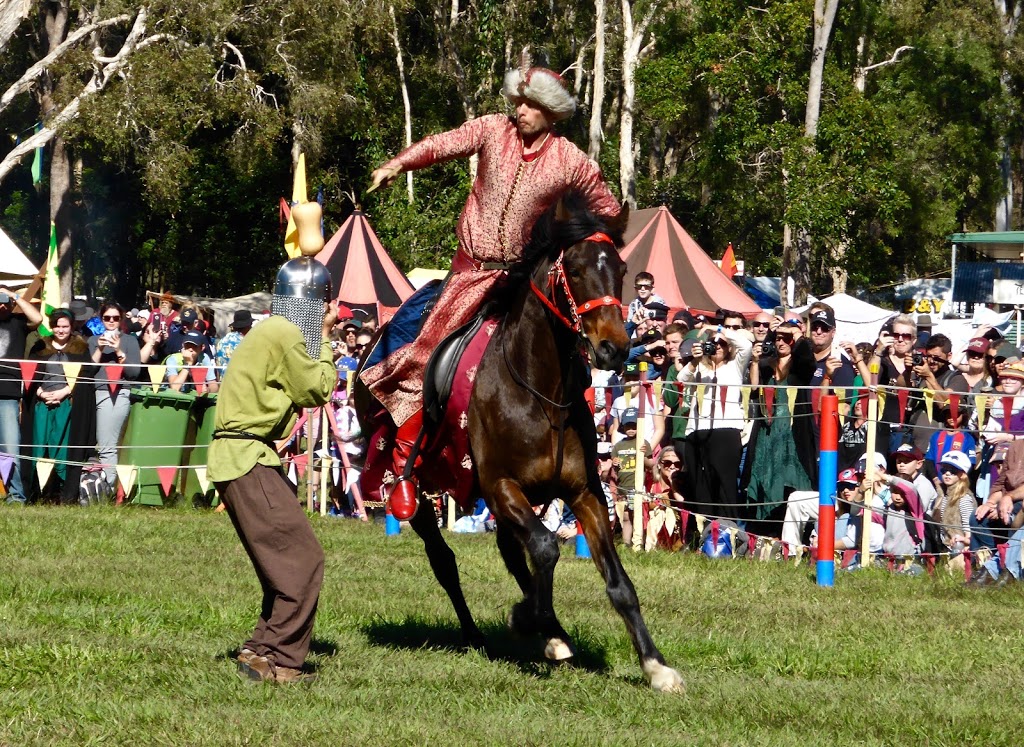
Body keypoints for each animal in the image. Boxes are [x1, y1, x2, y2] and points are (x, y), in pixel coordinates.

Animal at [356, 193, 684, 692]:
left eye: (622, 270)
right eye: (575, 269)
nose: (614, 349)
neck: (538, 393)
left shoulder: (583, 493)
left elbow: (617, 583)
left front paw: (655, 664)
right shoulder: (500, 487)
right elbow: (545, 548)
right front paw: (530, 619)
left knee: (512, 552)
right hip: (416, 488)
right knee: (444, 558)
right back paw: (481, 635)